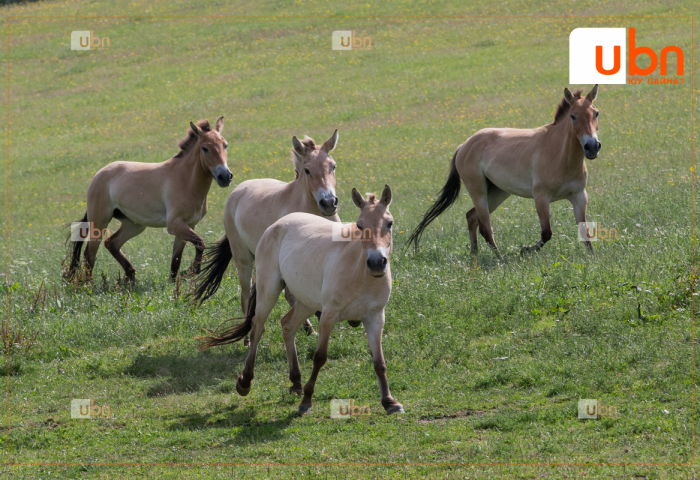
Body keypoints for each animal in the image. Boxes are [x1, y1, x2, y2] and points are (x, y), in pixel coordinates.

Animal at [65, 116, 231, 284]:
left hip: (134, 225)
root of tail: (99, 174)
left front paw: (176, 281)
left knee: (111, 243)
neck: (186, 181)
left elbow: (176, 261)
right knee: (89, 254)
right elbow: (200, 243)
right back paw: (90, 285)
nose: (225, 177)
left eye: (225, 145)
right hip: (99, 222)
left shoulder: (187, 226)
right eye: (205, 148)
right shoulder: (175, 225)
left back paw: (130, 276)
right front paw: (191, 272)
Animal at [194, 131, 342, 340]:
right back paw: (247, 338)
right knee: (246, 293)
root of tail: (239, 189)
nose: (328, 202)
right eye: (307, 170)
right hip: (244, 258)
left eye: (333, 166)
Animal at [198, 186, 404, 414]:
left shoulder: (375, 318)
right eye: (360, 225)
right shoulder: (328, 316)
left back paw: (296, 381)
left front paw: (390, 402)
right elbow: (320, 357)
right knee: (257, 329)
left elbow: (379, 362)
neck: (360, 273)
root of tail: (277, 224)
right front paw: (306, 400)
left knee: (287, 326)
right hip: (268, 291)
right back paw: (245, 382)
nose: (377, 263)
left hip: (306, 303)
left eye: (389, 223)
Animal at [408, 85, 604, 255]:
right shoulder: (541, 197)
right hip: (479, 192)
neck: (560, 155)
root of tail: (464, 145)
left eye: (596, 113)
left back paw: (474, 255)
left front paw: (592, 259)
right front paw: (525, 250)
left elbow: (585, 233)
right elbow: (546, 232)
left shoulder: (579, 196)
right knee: (485, 227)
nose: (592, 147)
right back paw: (499, 258)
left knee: (471, 217)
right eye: (573, 116)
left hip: (497, 192)